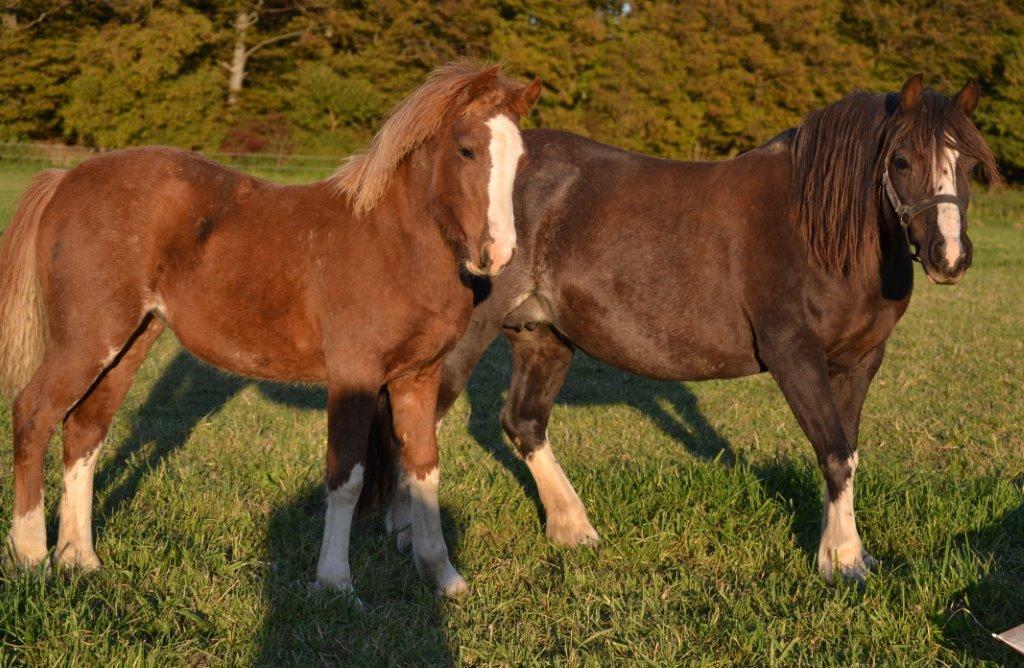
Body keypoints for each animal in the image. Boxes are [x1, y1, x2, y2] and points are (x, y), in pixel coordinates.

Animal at [0, 61, 544, 594]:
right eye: (466, 149)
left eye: (521, 161)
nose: (498, 255)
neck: (396, 243)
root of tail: (65, 179)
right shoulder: (354, 373)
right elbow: (346, 475)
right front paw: (334, 582)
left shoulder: (418, 376)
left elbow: (424, 470)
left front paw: (443, 576)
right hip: (88, 338)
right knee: (34, 413)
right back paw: (31, 555)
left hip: (130, 340)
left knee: (84, 430)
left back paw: (80, 558)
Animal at [378, 75, 999, 581]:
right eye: (901, 161)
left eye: (968, 165)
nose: (950, 258)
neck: (818, 231)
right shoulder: (795, 355)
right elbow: (833, 451)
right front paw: (842, 561)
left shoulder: (860, 361)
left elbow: (845, 452)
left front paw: (845, 551)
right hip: (463, 342)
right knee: (416, 427)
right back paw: (409, 538)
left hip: (542, 337)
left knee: (522, 422)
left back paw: (573, 528)